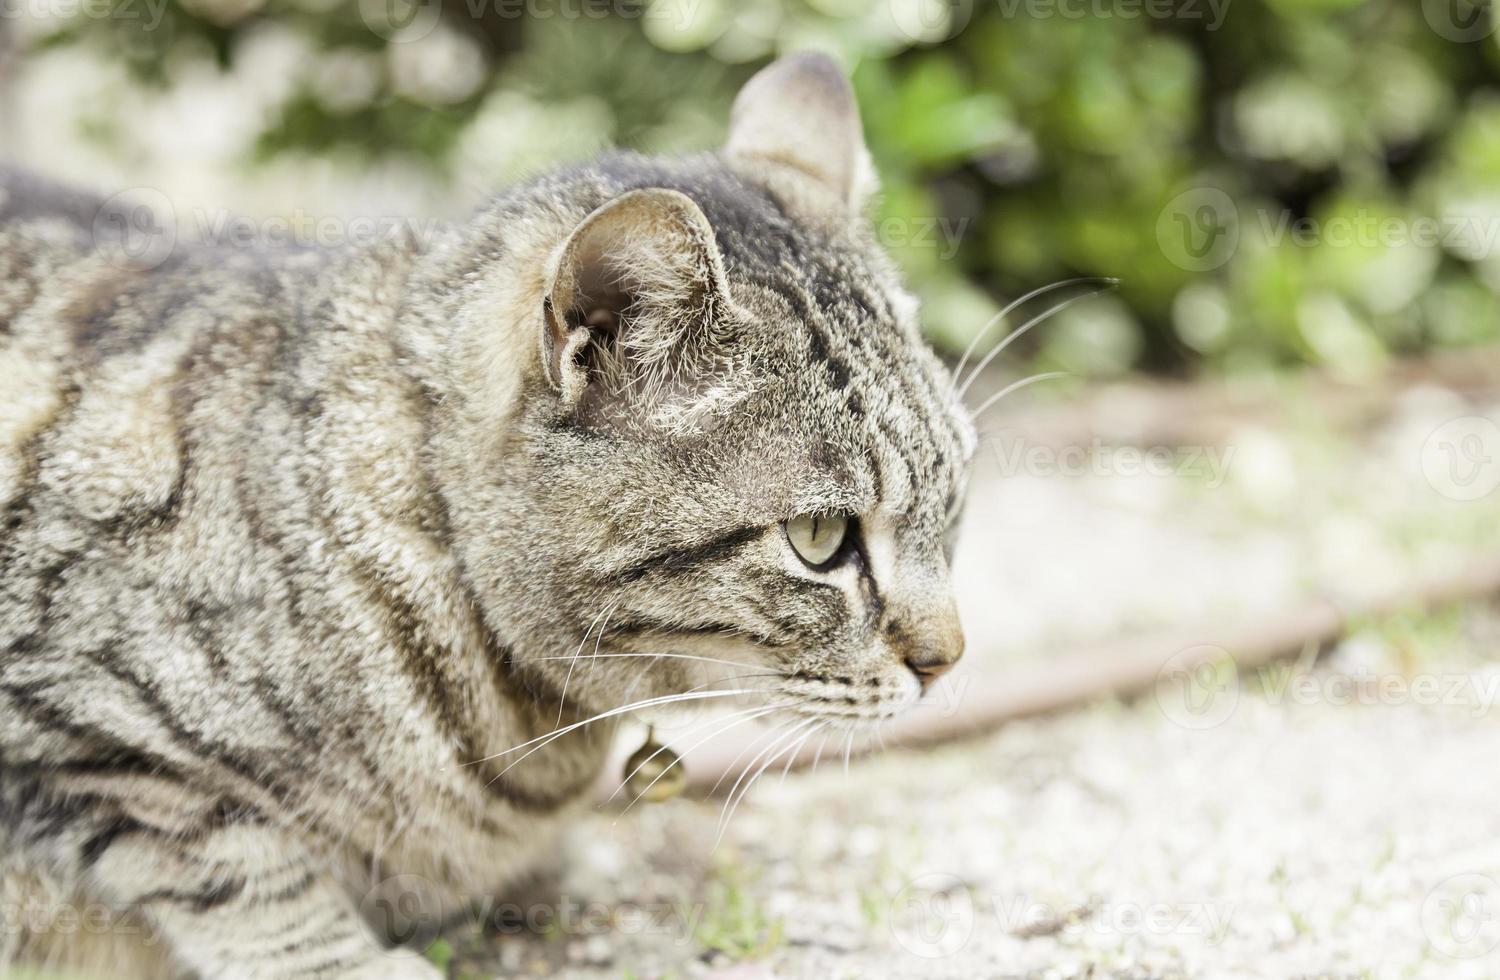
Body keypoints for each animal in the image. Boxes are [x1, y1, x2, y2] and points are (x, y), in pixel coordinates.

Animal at [0, 55, 972, 978]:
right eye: (820, 540)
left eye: (953, 504)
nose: (949, 661)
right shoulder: (83, 728)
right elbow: (235, 867)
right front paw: (345, 962)